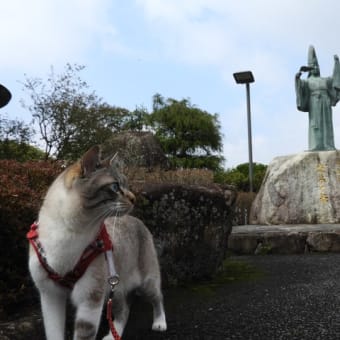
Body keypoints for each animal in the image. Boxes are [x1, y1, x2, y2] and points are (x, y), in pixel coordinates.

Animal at [27, 146, 167, 340]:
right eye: (115, 187)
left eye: (127, 185)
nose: (134, 198)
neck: (69, 232)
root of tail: (138, 220)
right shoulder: (50, 295)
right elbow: (53, 332)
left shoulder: (90, 299)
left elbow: (84, 334)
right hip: (115, 286)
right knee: (124, 310)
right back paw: (112, 336)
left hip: (146, 281)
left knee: (157, 298)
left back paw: (160, 323)